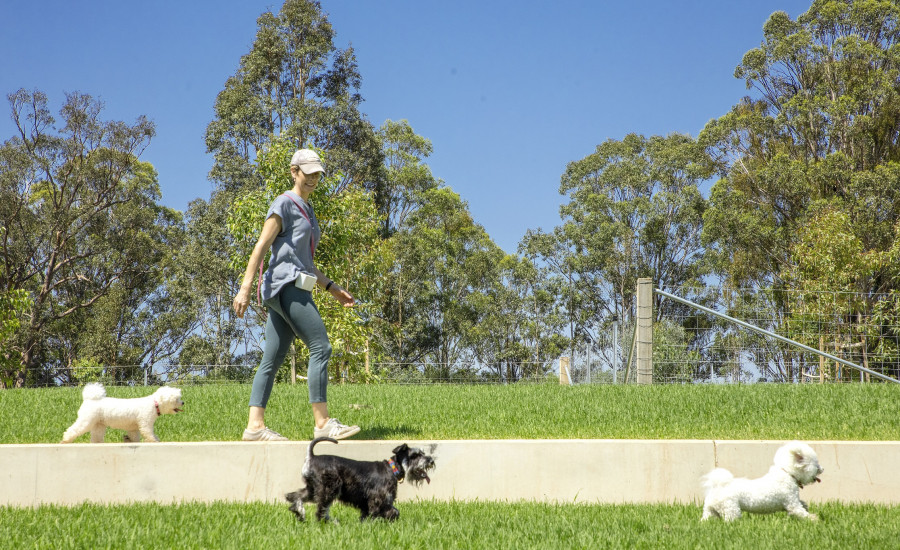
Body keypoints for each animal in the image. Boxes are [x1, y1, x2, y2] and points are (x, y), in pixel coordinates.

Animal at [284, 438, 434, 524]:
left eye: (423, 453)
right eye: (414, 455)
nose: (430, 460)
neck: (392, 469)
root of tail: (311, 457)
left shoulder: (368, 503)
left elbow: (370, 514)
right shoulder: (378, 499)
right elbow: (391, 512)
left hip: (313, 489)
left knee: (295, 496)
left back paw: (300, 512)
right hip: (329, 489)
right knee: (321, 510)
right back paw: (329, 522)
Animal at [700, 442, 828, 524]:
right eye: (816, 465)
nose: (823, 469)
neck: (788, 474)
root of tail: (717, 488)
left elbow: (802, 504)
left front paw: (806, 507)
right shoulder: (791, 502)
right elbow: (800, 511)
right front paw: (814, 519)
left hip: (710, 511)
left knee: (706, 520)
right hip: (731, 509)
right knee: (731, 520)